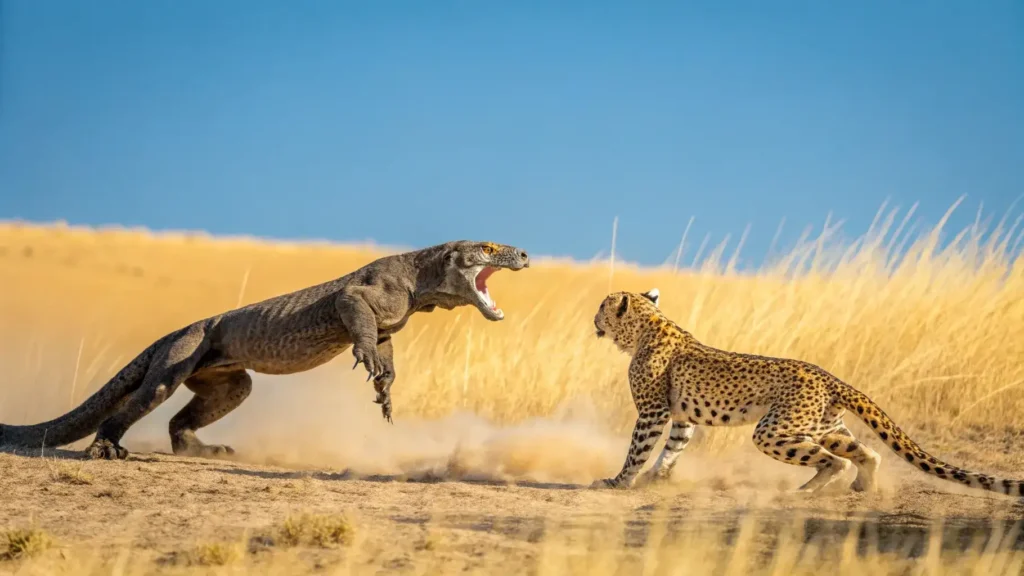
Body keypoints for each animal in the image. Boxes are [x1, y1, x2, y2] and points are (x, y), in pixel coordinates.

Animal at [589, 288, 1023, 497]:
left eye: (601, 307)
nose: (593, 319)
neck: (649, 324)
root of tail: (828, 375)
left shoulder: (653, 412)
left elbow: (638, 449)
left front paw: (618, 482)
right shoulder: (681, 415)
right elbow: (673, 448)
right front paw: (656, 479)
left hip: (772, 430)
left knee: (836, 461)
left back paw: (805, 492)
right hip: (822, 427)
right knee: (867, 453)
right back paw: (863, 488)